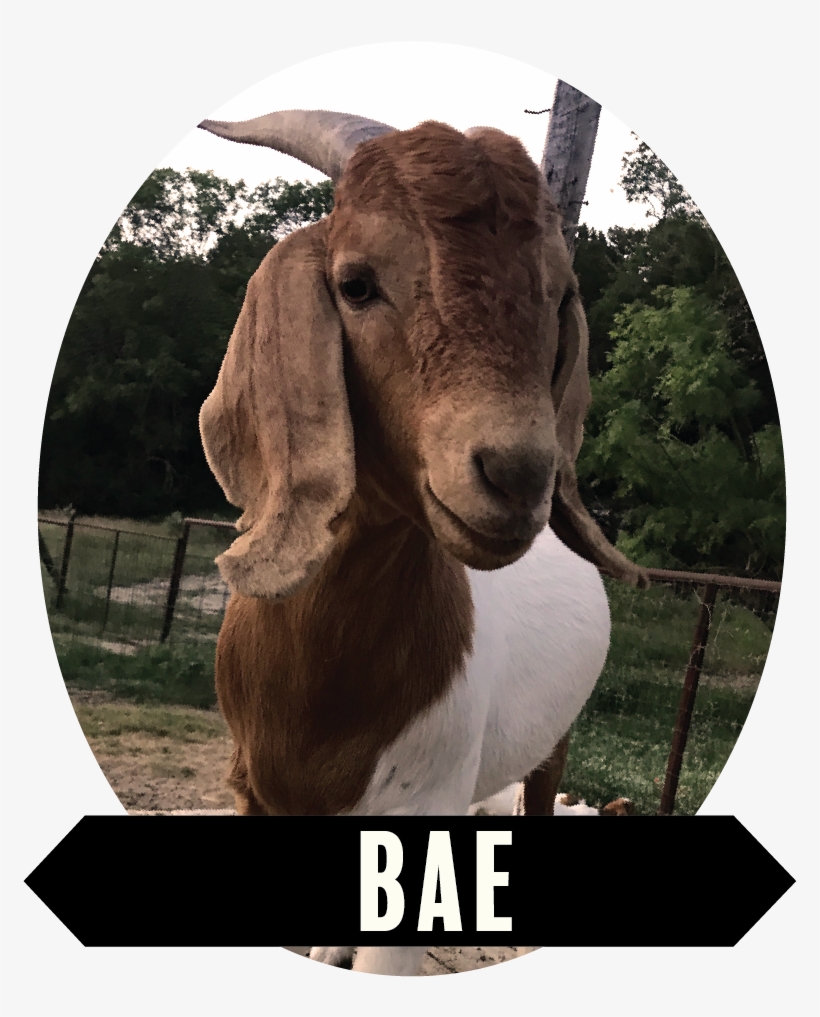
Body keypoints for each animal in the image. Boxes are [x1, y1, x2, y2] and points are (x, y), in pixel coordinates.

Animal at [197, 110, 647, 976]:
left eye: (557, 295)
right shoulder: (256, 792)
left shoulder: (424, 799)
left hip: (552, 745)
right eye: (356, 283)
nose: (519, 474)